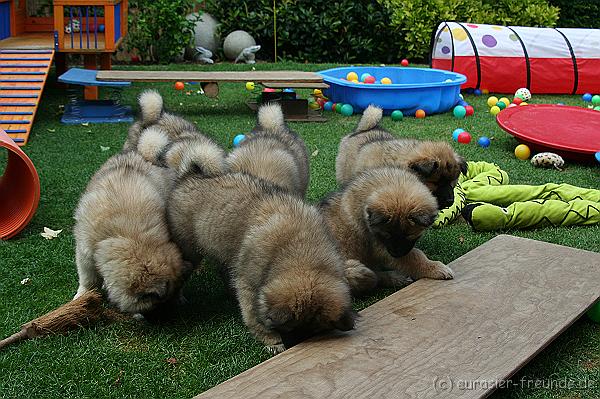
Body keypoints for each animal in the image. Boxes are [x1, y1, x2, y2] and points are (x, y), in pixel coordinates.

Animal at [73, 152, 192, 314]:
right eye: (155, 304)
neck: (128, 236)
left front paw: (179, 297)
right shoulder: (85, 253)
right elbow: (88, 279)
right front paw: (83, 295)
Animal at [322, 167, 452, 296]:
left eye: (409, 235)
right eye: (387, 234)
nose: (396, 253)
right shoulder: (380, 247)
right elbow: (414, 257)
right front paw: (435, 268)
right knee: (371, 277)